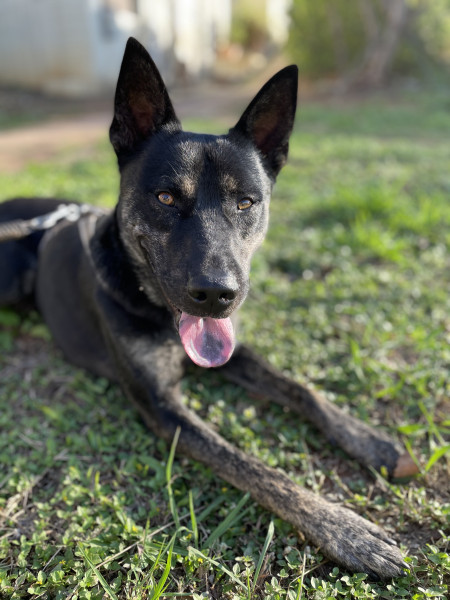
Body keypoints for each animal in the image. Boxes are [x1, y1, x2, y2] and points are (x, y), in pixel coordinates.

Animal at [0, 36, 414, 576]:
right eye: (164, 197)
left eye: (247, 203)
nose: (217, 294)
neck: (155, 306)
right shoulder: (163, 408)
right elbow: (254, 466)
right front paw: (348, 530)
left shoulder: (233, 350)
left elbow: (303, 390)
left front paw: (369, 439)